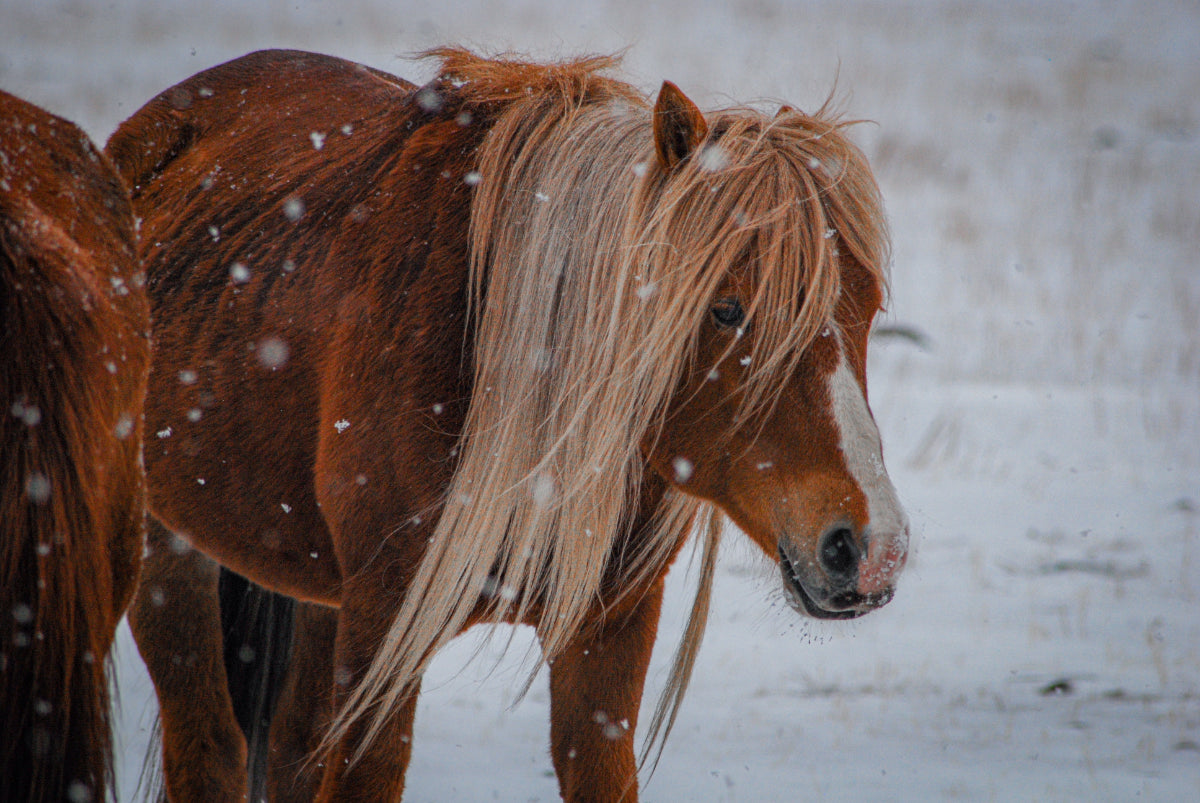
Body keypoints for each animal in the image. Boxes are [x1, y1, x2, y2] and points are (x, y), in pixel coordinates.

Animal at [105, 50, 907, 801]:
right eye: (728, 308)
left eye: (868, 309)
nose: (872, 548)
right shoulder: (382, 628)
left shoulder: (610, 628)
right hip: (168, 555)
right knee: (210, 750)